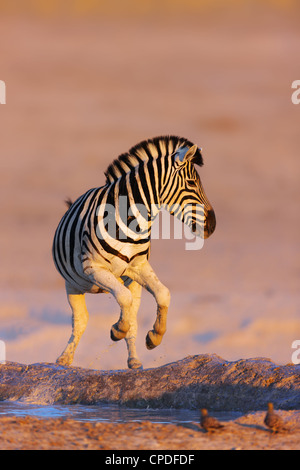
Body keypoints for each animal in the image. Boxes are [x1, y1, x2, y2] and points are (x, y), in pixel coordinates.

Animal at [52, 136, 216, 370]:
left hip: (131, 282)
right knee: (81, 320)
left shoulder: (137, 267)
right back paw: (64, 359)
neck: (130, 220)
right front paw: (117, 329)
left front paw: (155, 336)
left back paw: (134, 361)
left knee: (133, 315)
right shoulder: (94, 269)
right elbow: (123, 298)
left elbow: (163, 294)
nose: (213, 225)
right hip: (73, 285)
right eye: (192, 183)